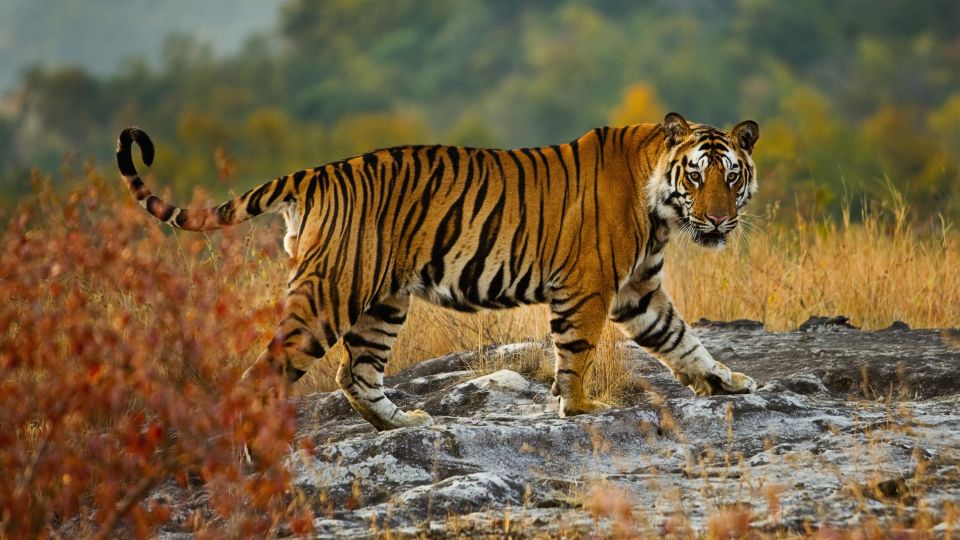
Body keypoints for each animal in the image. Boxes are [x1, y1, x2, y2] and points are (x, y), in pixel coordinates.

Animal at [116, 112, 760, 431]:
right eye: (696, 176)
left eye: (732, 177)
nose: (718, 221)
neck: (661, 209)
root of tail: (316, 173)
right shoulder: (588, 287)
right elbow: (576, 353)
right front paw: (579, 410)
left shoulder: (637, 290)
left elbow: (681, 339)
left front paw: (726, 382)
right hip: (329, 295)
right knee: (266, 373)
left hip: (381, 302)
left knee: (356, 374)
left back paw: (403, 422)